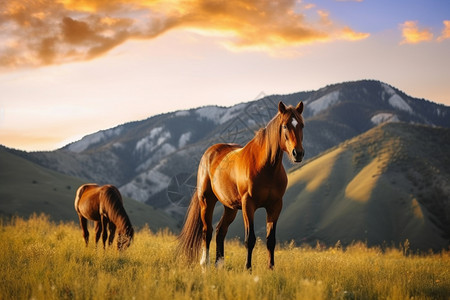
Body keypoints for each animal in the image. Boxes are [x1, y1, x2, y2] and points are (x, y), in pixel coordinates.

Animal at [178, 101, 304, 270]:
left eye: (302, 125)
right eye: (285, 126)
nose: (298, 153)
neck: (266, 168)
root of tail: (209, 153)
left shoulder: (275, 206)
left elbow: (271, 240)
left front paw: (271, 269)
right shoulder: (248, 204)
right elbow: (249, 239)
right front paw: (248, 269)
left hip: (230, 207)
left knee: (220, 231)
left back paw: (219, 265)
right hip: (207, 201)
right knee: (207, 231)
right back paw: (205, 265)